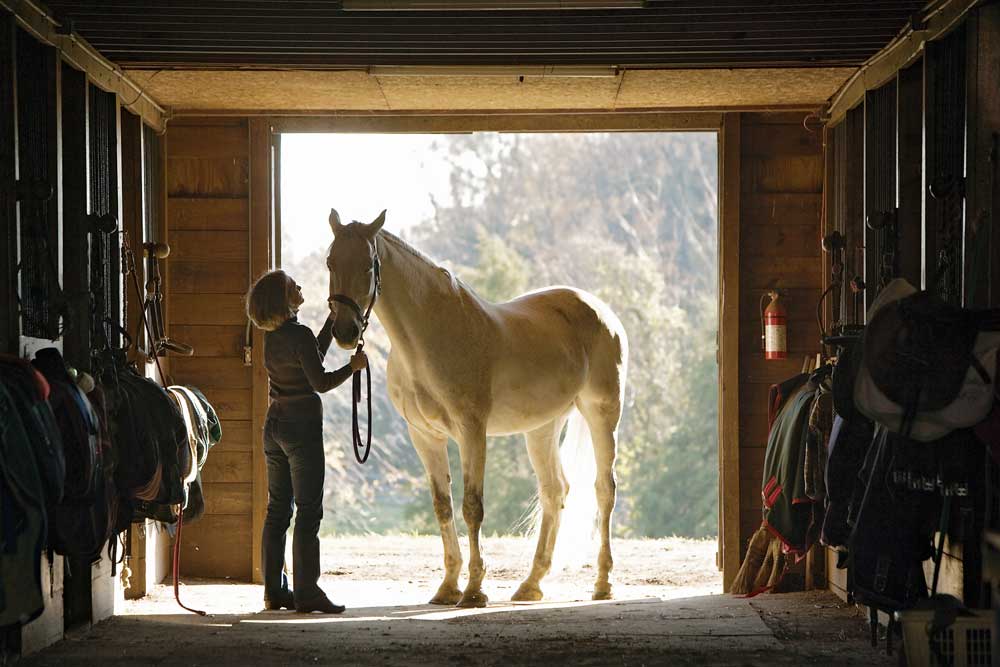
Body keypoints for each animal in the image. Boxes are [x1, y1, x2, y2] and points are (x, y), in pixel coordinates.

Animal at [326, 211, 624, 608]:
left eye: (367, 266)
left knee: (604, 489)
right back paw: (531, 584)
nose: (345, 332)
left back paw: (603, 583)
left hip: (601, 413)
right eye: (330, 262)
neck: (430, 336)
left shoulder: (472, 431)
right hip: (542, 427)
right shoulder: (425, 436)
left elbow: (472, 506)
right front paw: (448, 587)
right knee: (554, 491)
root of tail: (601, 311)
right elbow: (442, 505)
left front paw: (474, 590)